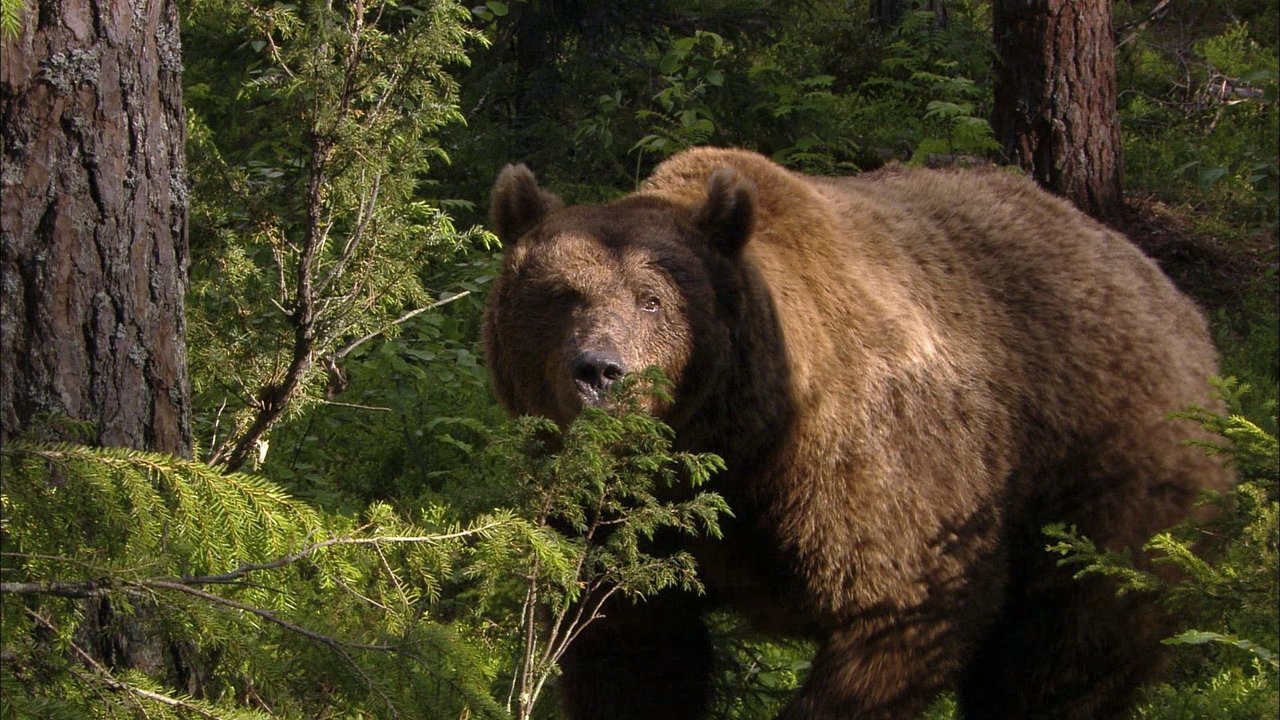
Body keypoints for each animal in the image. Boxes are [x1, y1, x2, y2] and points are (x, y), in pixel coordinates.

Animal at [481, 147, 1228, 717]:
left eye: (652, 299)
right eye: (561, 295)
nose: (600, 371)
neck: (736, 442)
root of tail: (1171, 296)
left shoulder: (865, 472)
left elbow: (901, 610)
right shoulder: (622, 517)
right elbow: (631, 646)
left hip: (1106, 482)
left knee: (1064, 655)